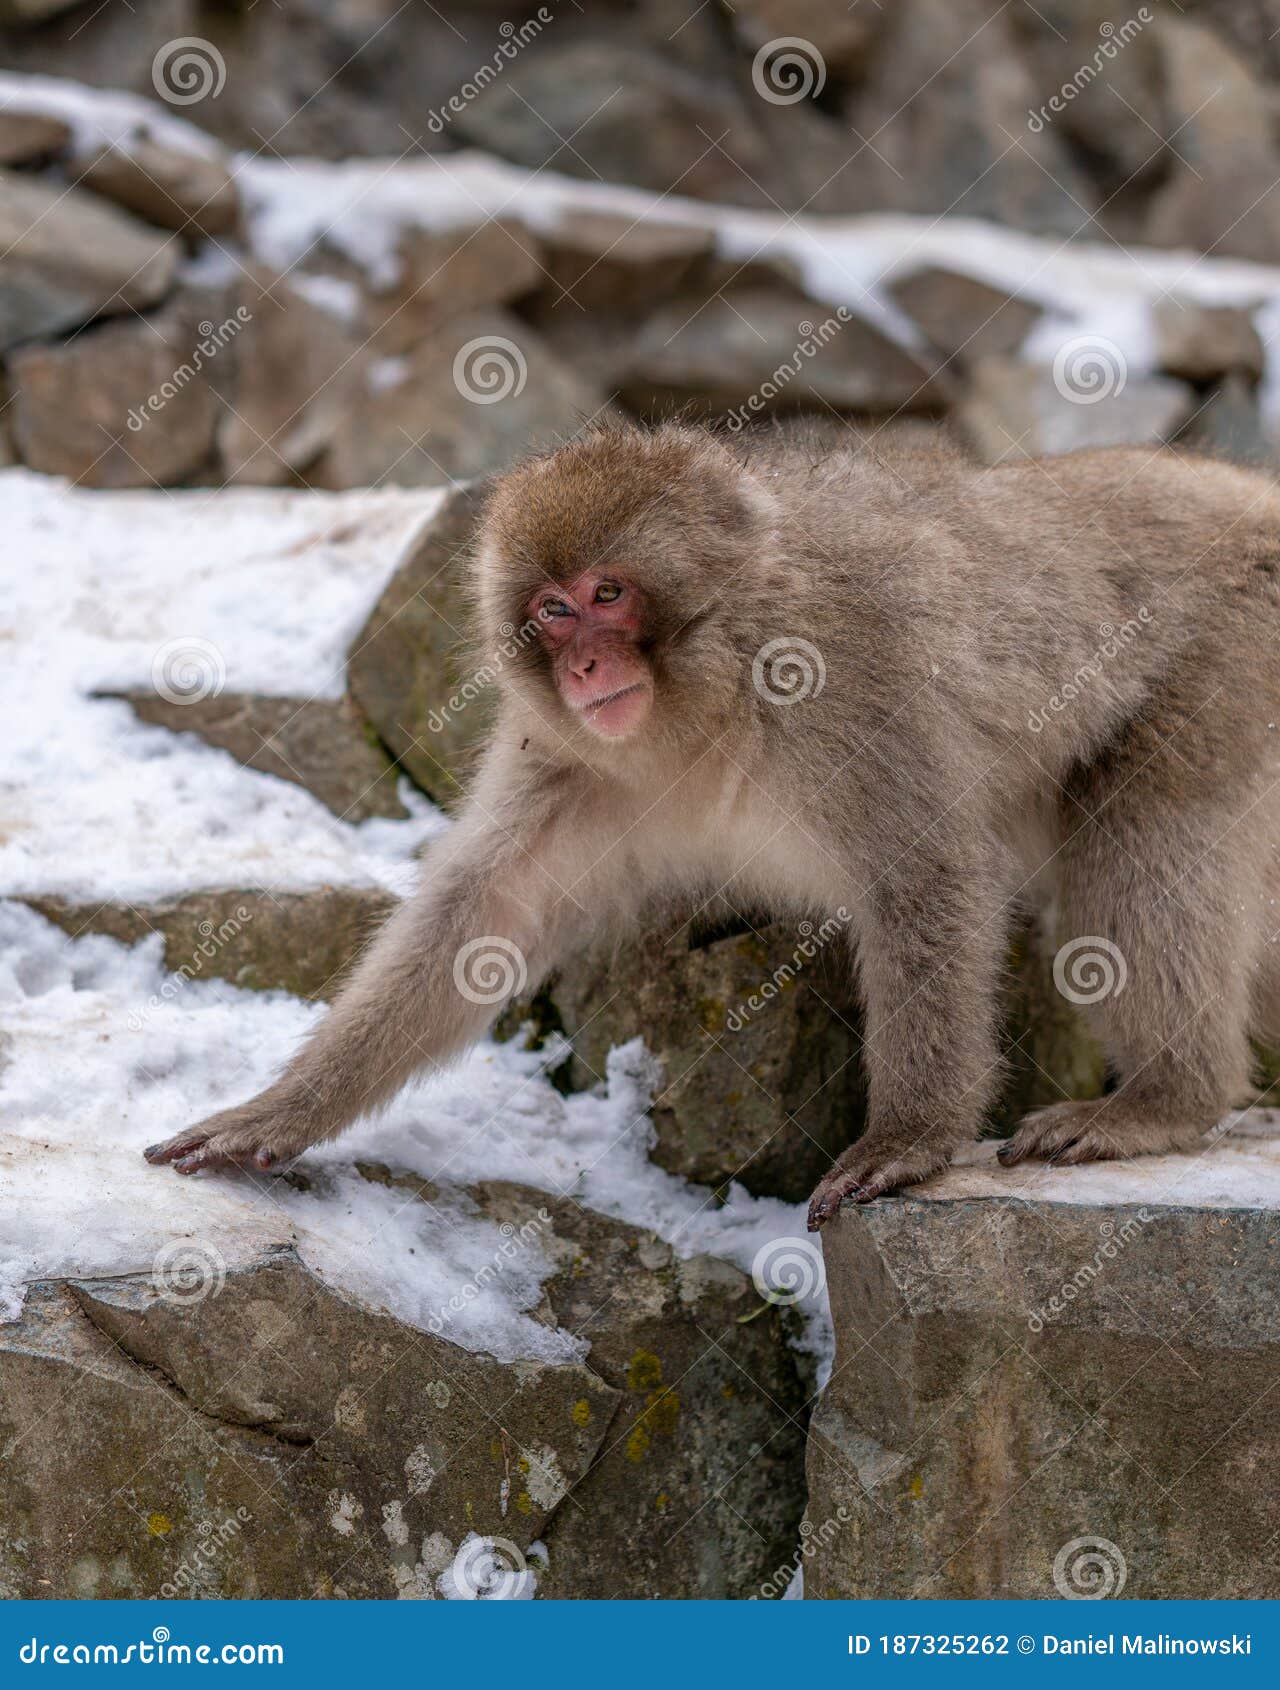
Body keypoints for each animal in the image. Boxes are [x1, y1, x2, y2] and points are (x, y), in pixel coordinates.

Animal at [144, 422, 1278, 1230]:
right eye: (551, 609)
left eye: (608, 592)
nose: (586, 666)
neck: (712, 698)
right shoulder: (567, 762)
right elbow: (486, 916)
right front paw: (280, 1113)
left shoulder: (844, 683)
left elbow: (927, 875)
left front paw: (909, 1136)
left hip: (1233, 649)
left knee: (1146, 826)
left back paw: (1167, 1099)